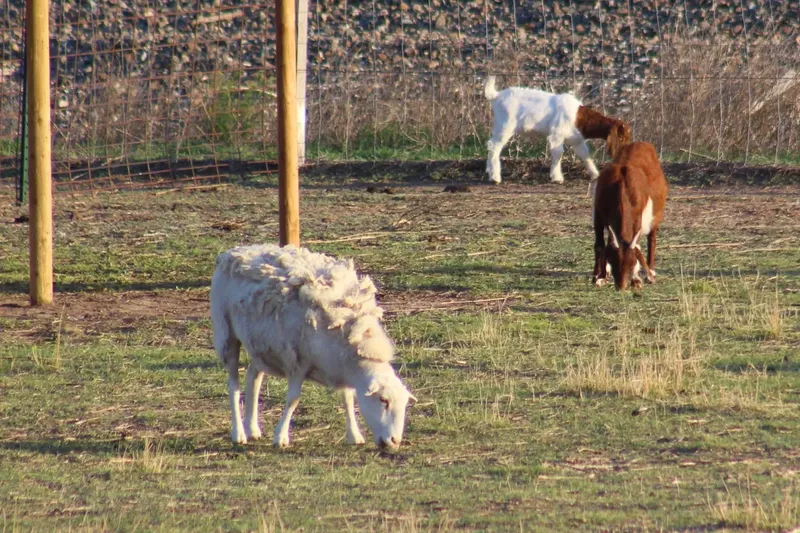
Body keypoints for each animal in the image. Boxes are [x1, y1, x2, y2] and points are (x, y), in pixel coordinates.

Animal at [210, 244, 416, 450]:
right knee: (233, 385)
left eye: (405, 404)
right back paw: (238, 433)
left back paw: (252, 429)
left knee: (253, 375)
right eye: (383, 400)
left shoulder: (338, 365)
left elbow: (348, 399)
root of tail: (234, 251)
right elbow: (293, 400)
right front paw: (281, 437)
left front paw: (354, 435)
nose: (394, 441)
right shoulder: (296, 361)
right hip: (226, 334)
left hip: (262, 345)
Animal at [484, 76, 631, 185]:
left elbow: (585, 154)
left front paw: (595, 174)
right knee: (494, 146)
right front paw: (557, 178)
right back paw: (495, 177)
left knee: (491, 145)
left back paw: (489, 172)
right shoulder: (557, 134)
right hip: (505, 125)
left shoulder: (576, 139)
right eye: (621, 137)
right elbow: (558, 153)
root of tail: (497, 95)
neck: (578, 117)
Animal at [592, 141, 668, 290]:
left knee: (652, 239)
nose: (621, 287)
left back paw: (651, 272)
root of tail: (641, 143)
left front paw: (636, 279)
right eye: (612, 261)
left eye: (632, 262)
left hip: (656, 216)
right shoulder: (598, 214)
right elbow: (600, 245)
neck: (622, 185)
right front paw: (598, 276)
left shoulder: (638, 217)